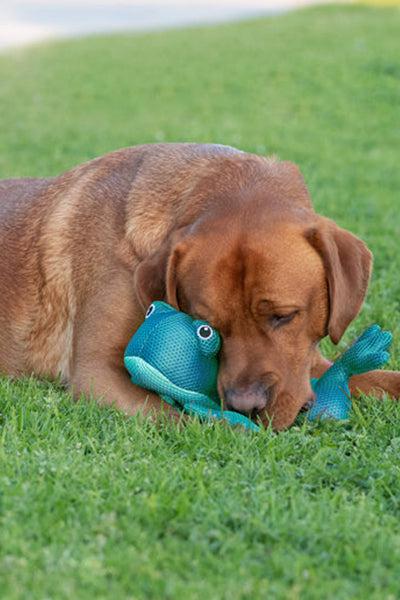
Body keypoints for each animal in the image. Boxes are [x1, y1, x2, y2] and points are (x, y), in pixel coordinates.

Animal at [0, 143, 400, 428]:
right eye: (206, 328)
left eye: (284, 316)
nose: (246, 406)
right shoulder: (97, 371)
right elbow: (199, 421)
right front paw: (232, 424)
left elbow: (376, 376)